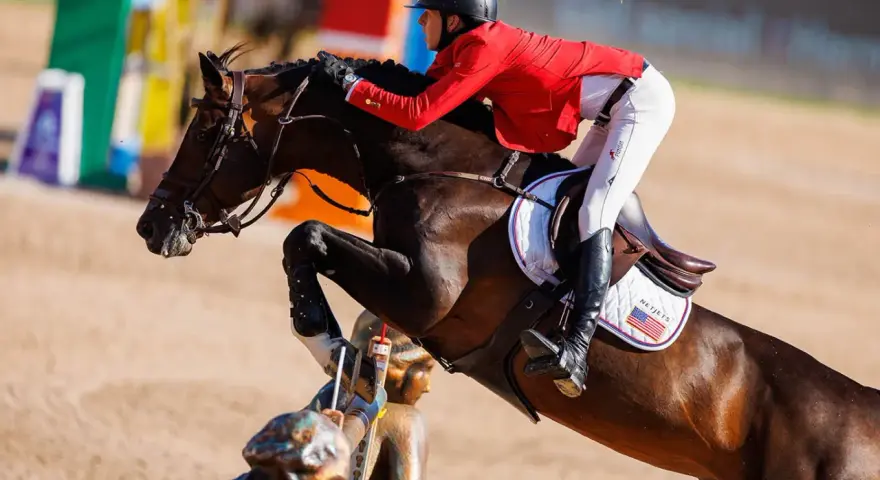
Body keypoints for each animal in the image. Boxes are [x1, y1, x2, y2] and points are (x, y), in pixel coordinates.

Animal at [135, 46, 880, 480]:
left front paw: (325, 341)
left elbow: (307, 239)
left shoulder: (427, 295)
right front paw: (345, 362)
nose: (151, 225)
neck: (439, 169)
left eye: (207, 128)